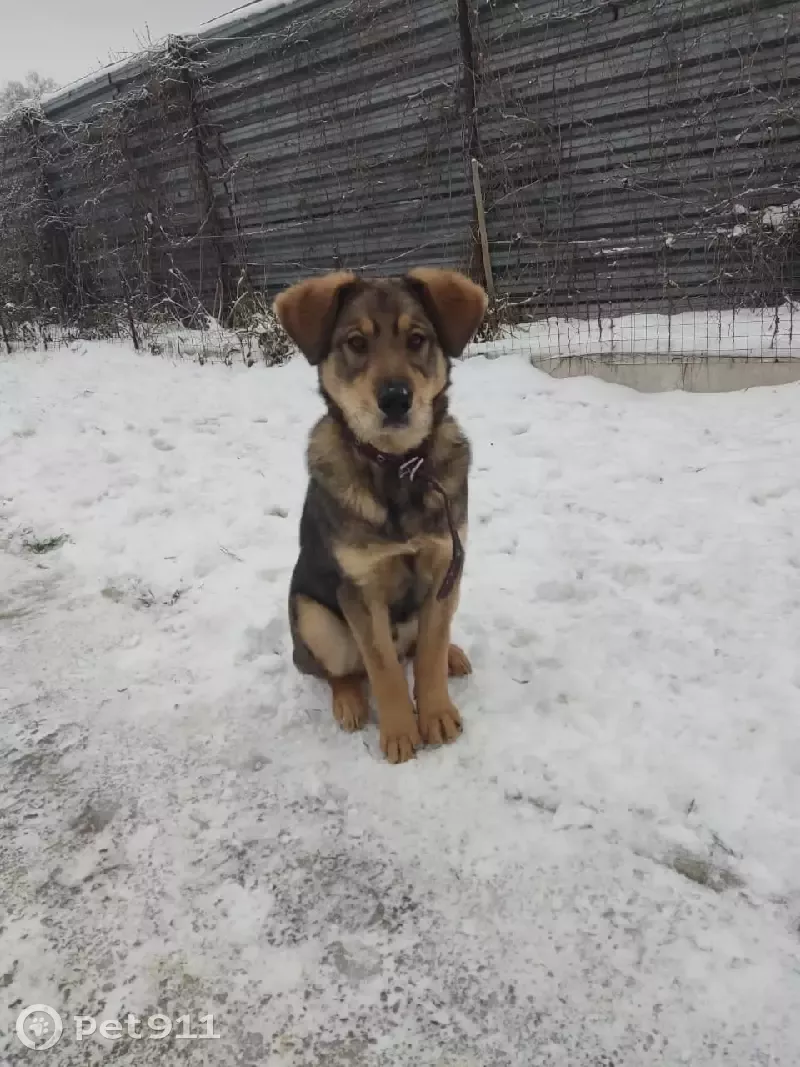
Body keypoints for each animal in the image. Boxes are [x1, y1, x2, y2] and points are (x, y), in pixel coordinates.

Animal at [275, 271, 488, 763]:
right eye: (356, 342)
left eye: (417, 340)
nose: (395, 399)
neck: (398, 467)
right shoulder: (360, 588)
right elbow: (383, 668)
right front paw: (399, 733)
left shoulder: (445, 565)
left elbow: (427, 655)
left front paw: (435, 714)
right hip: (313, 618)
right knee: (343, 671)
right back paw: (350, 703)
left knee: (418, 645)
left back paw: (453, 654)